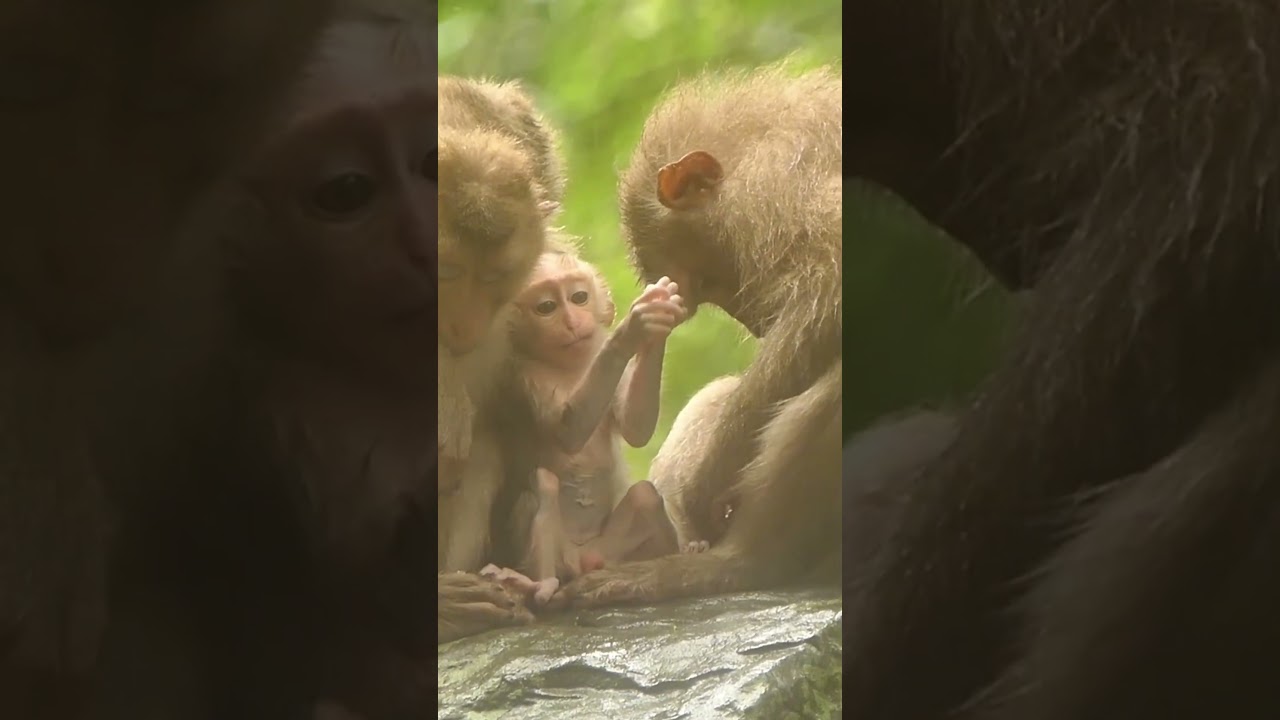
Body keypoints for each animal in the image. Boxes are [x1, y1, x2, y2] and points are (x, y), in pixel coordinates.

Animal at [478, 251, 686, 605]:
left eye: (579, 298)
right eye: (547, 307)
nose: (573, 322)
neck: (570, 367)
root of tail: (582, 560)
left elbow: (635, 428)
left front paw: (657, 325)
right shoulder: (522, 374)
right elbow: (569, 431)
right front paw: (630, 330)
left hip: (608, 550)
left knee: (644, 497)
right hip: (561, 556)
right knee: (543, 485)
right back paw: (540, 585)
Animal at [548, 63, 843, 609]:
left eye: (708, 282)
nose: (755, 324)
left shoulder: (775, 186)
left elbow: (832, 289)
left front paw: (706, 484)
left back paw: (739, 565)